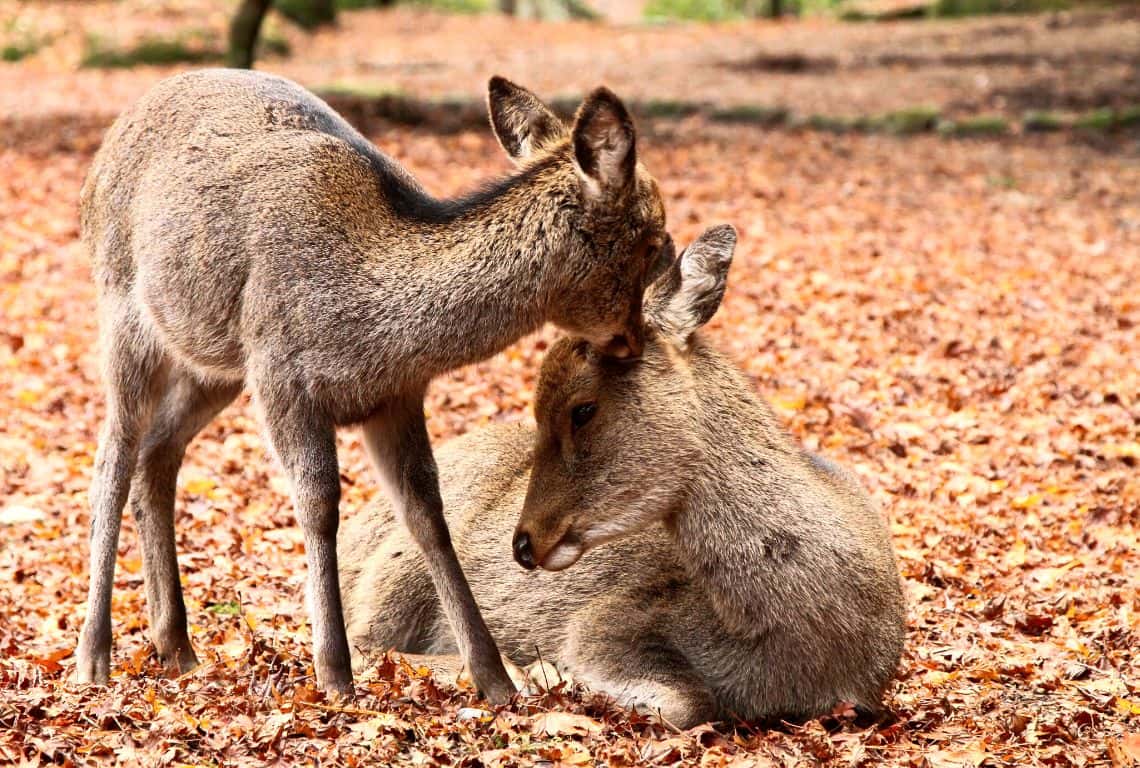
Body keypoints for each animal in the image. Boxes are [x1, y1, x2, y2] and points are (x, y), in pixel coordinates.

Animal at [75, 68, 670, 697]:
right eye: (654, 241)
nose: (636, 341)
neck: (375, 334)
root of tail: (107, 144)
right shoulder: (281, 375)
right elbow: (319, 503)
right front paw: (335, 675)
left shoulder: (397, 397)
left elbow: (428, 515)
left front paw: (497, 682)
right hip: (123, 309)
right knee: (112, 458)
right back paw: (93, 656)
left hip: (212, 362)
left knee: (158, 452)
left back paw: (177, 648)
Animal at [332, 223, 902, 724]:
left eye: (582, 409)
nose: (524, 543)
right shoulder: (606, 618)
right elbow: (688, 701)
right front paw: (550, 674)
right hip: (402, 563)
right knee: (362, 641)